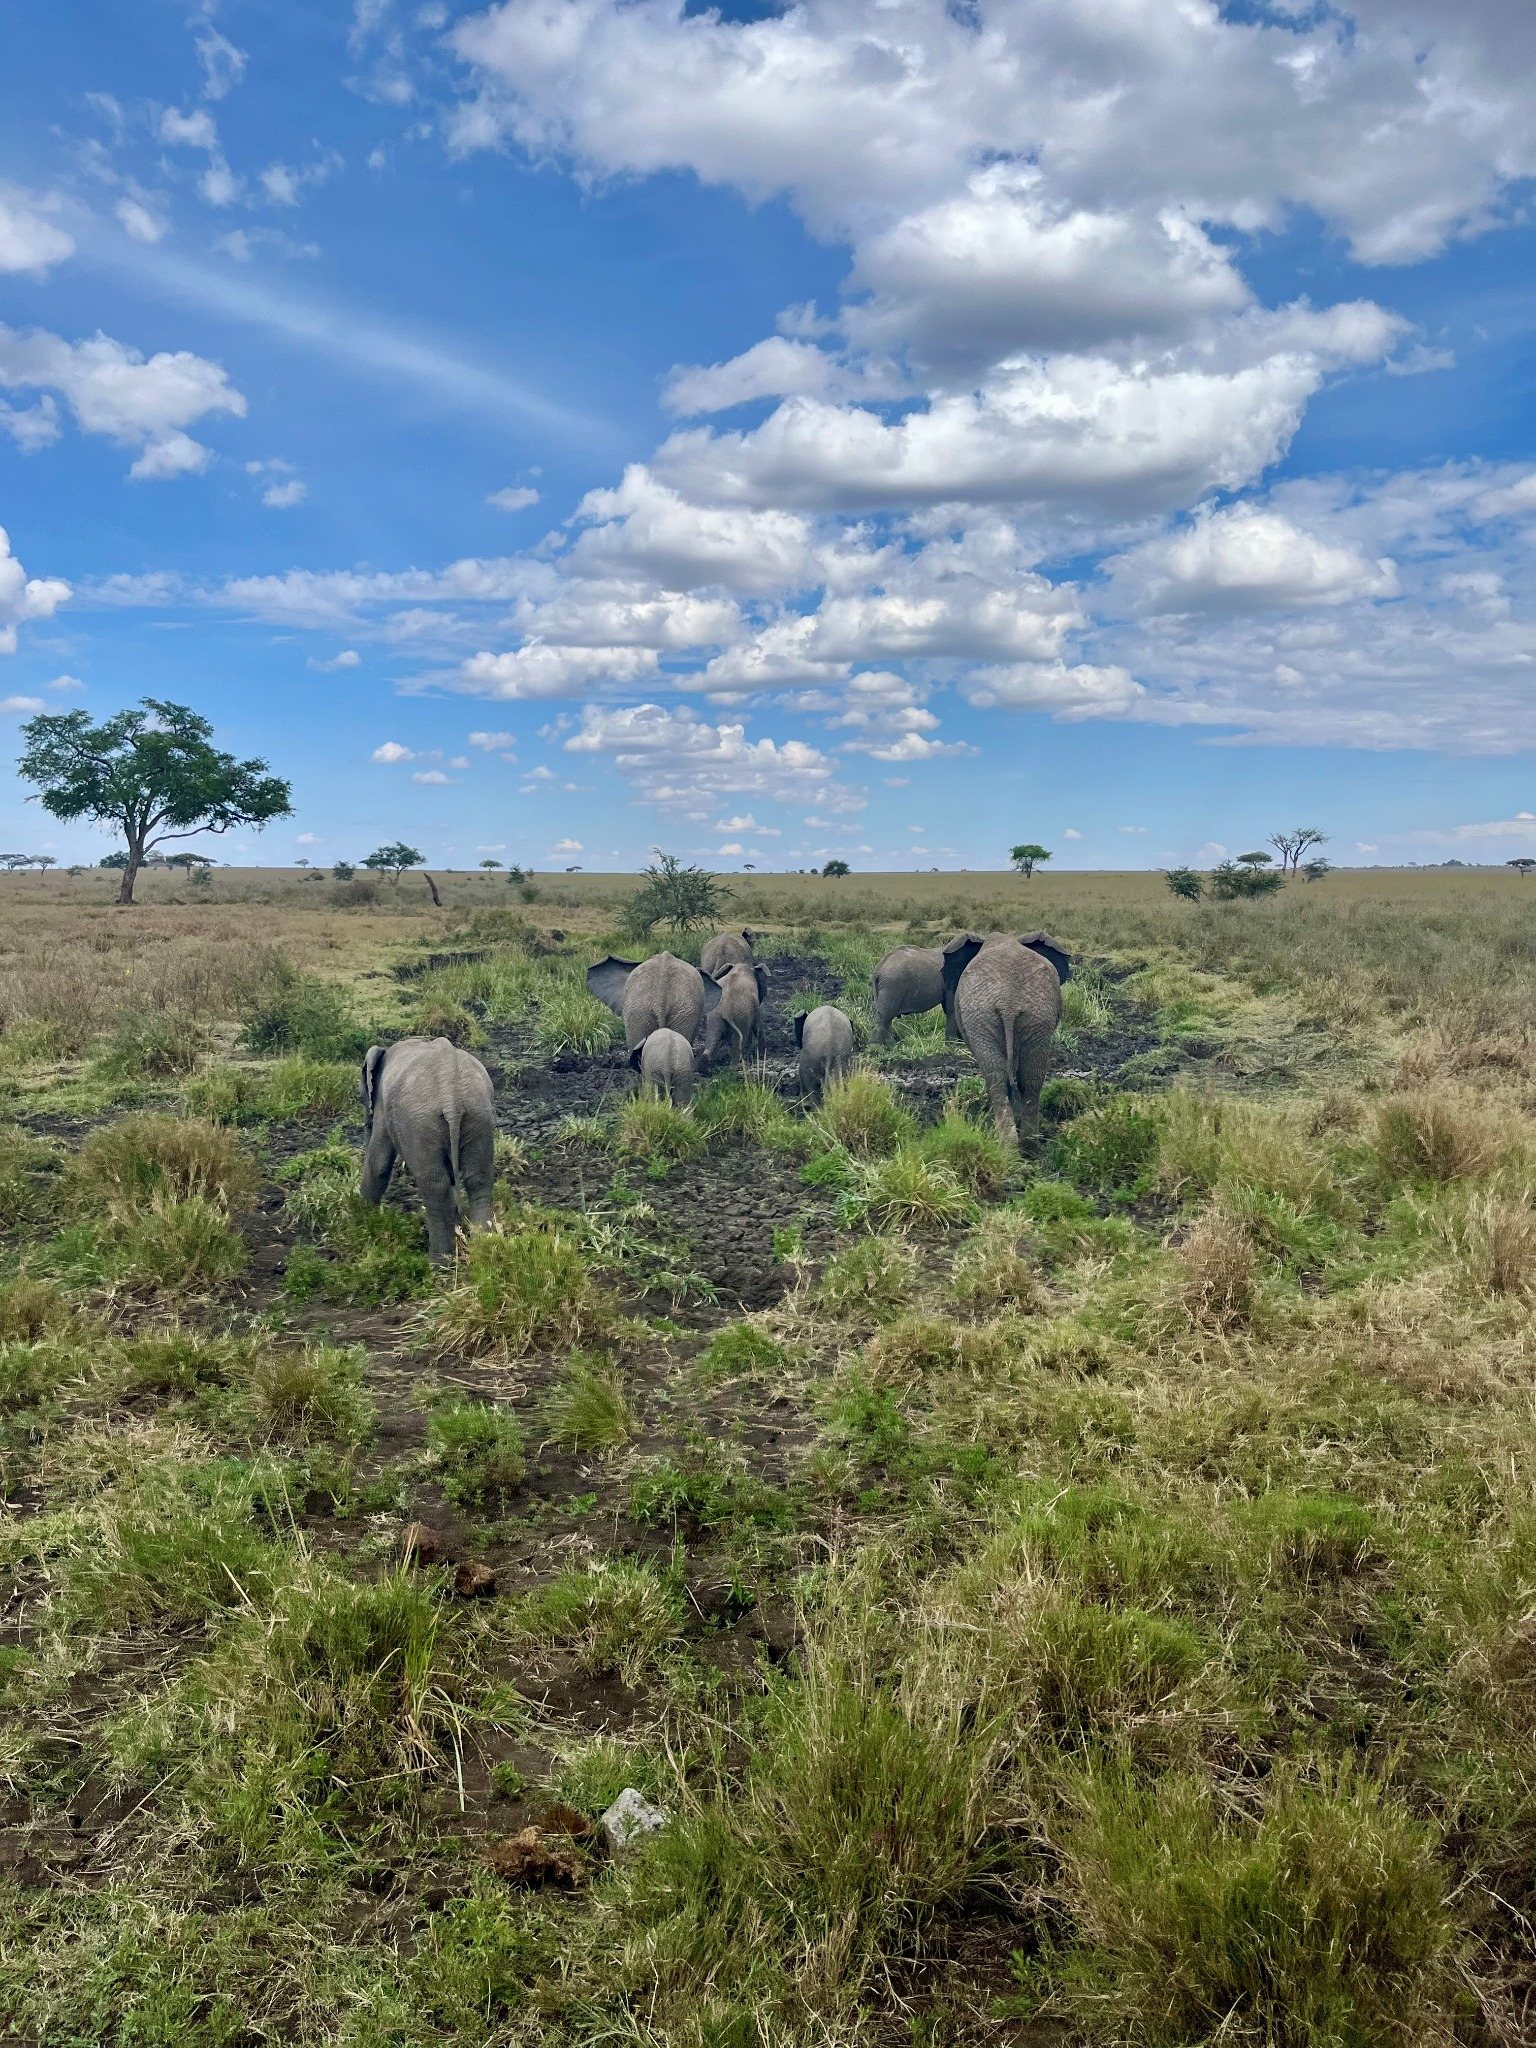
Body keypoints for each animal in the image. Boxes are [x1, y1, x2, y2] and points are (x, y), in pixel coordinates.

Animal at [360, 1036, 497, 1264]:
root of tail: (451, 1095)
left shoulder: (381, 1105)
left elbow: (379, 1161)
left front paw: (359, 1217)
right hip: (479, 1113)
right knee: (478, 1178)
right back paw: (484, 1246)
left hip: (418, 1122)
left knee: (434, 1184)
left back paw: (437, 1263)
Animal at [940, 930, 1072, 1149]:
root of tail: (1009, 1002)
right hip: (1037, 1015)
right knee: (1031, 1076)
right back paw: (1028, 1146)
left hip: (981, 1017)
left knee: (996, 1076)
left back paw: (1006, 1145)